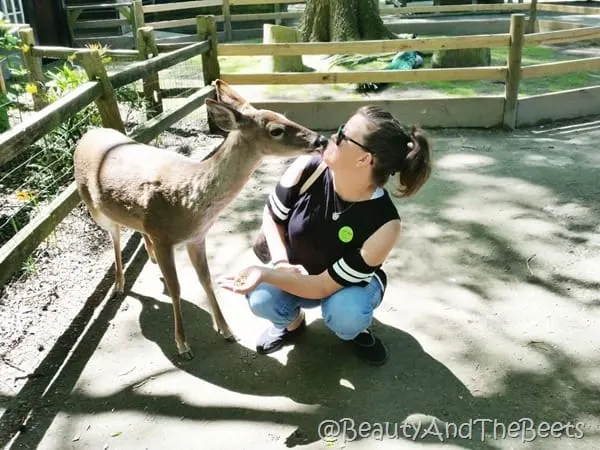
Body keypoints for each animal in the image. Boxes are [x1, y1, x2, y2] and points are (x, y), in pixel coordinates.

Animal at [74, 79, 328, 360]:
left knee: (135, 230)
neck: (188, 202)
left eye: (284, 116)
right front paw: (183, 345)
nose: (321, 139)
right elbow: (176, 287)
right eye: (276, 130)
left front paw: (227, 331)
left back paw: (148, 259)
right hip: (93, 206)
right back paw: (119, 285)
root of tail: (87, 134)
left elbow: (206, 279)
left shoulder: (197, 237)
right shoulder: (163, 237)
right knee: (115, 237)